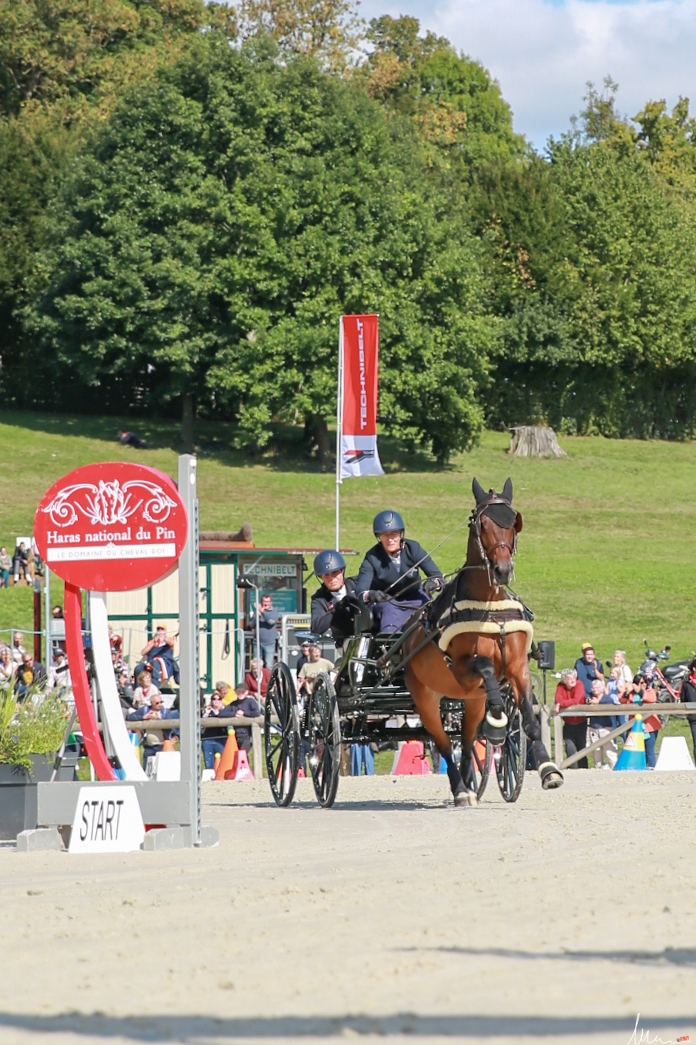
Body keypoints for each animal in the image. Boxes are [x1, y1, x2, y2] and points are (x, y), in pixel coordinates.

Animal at [399, 476, 560, 806]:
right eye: (482, 524)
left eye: (513, 522)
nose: (502, 569)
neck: (488, 607)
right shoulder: (463, 668)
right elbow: (486, 668)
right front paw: (497, 722)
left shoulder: (517, 666)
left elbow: (528, 717)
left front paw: (547, 768)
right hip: (426, 698)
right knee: (444, 742)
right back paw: (461, 788)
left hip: (471, 702)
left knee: (468, 738)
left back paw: (471, 785)